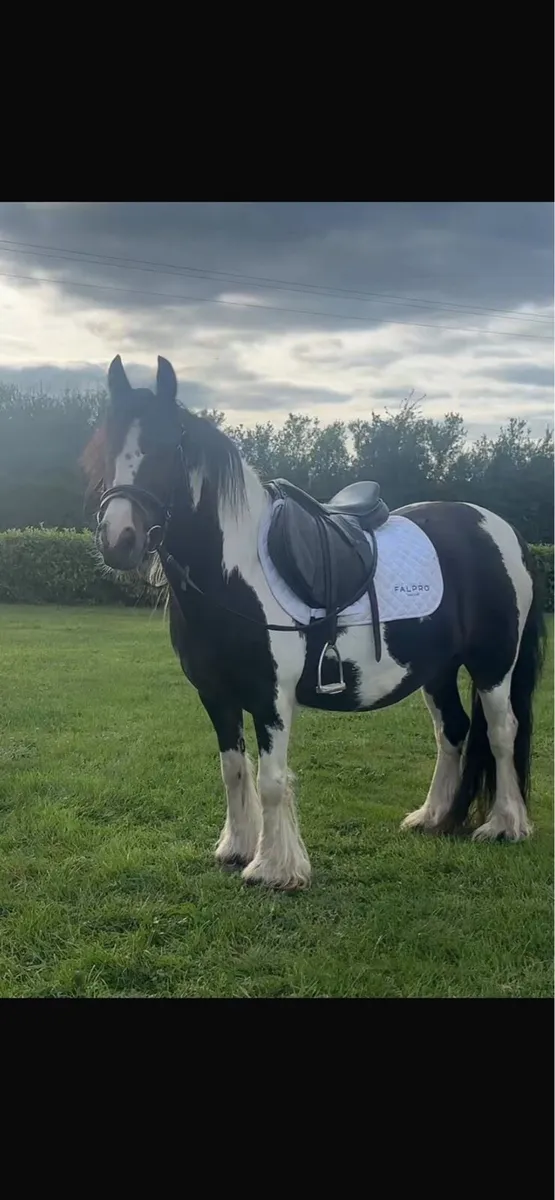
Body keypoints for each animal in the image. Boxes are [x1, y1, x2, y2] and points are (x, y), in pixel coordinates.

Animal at [81, 354, 546, 892]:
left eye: (165, 447)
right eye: (105, 448)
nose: (118, 540)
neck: (235, 572)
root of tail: (503, 530)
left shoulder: (271, 698)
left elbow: (271, 780)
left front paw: (274, 868)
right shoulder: (216, 696)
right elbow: (233, 771)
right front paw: (237, 849)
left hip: (493, 664)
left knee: (501, 732)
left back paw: (505, 825)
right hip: (438, 669)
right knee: (452, 730)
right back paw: (432, 817)